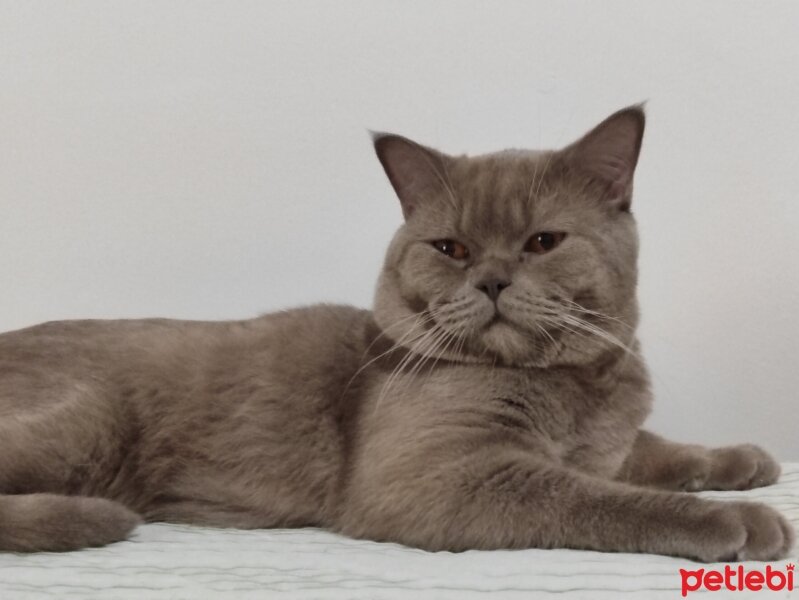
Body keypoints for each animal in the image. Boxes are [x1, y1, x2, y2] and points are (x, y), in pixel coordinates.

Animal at [0, 105, 792, 560]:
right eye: (452, 248)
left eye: (542, 242)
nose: (492, 281)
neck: (577, 384)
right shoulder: (436, 474)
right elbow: (593, 496)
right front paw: (742, 520)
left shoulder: (606, 441)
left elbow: (647, 449)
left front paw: (742, 460)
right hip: (86, 413)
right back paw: (96, 516)